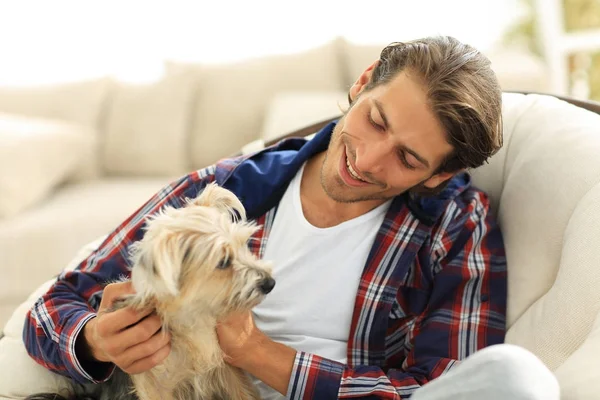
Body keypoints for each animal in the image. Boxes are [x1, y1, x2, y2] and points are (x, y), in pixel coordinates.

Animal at [25, 184, 274, 400]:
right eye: (223, 262)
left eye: (244, 245)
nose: (270, 283)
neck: (191, 321)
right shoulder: (157, 387)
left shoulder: (228, 370)